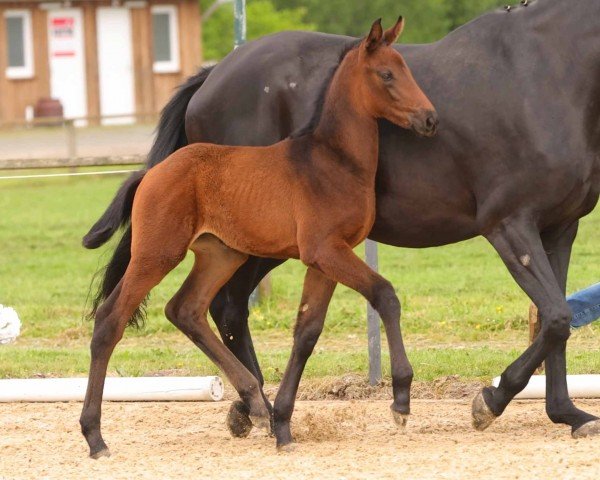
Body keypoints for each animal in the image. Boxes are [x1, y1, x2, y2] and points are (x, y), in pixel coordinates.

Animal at [81, 15, 436, 458]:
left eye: (406, 69)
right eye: (386, 74)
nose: (429, 118)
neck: (332, 160)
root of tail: (149, 174)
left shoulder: (324, 258)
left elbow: (307, 331)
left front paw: (283, 423)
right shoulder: (327, 250)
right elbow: (385, 295)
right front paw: (401, 399)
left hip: (221, 254)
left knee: (186, 309)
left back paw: (255, 403)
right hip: (157, 253)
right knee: (111, 319)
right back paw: (95, 436)